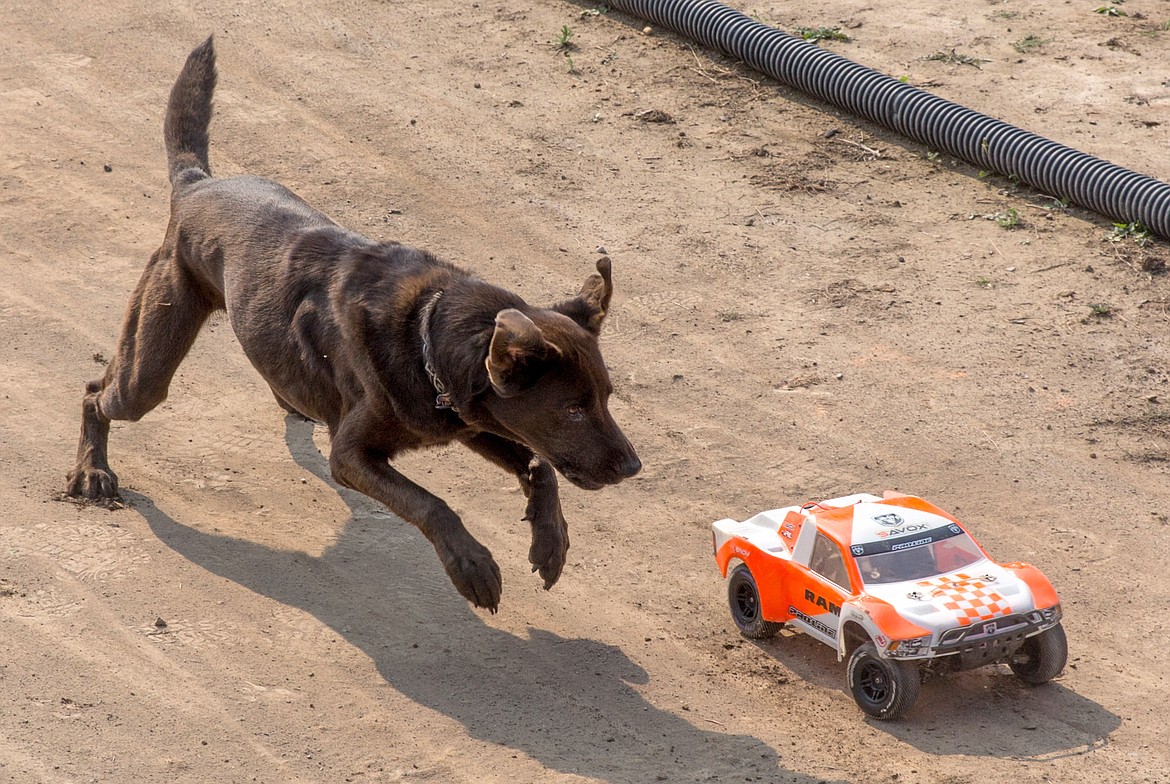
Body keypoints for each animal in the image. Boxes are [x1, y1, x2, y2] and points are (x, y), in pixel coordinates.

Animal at [66, 36, 641, 613]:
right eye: (571, 410)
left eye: (607, 398)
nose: (633, 468)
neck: (425, 330)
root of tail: (196, 185)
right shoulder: (354, 456)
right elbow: (430, 503)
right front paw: (473, 565)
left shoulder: (472, 417)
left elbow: (539, 467)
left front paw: (552, 544)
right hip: (149, 367)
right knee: (96, 392)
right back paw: (93, 471)